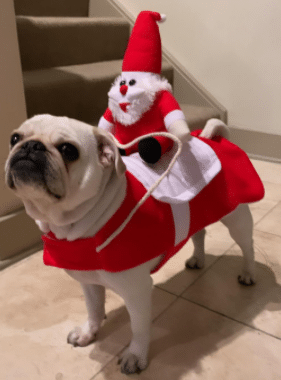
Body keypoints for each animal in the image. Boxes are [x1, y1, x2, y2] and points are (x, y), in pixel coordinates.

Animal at [4, 113, 262, 374]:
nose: (30, 146)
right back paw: (198, 259)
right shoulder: (88, 282)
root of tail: (217, 138)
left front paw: (136, 356)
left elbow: (138, 327)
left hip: (236, 218)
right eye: (14, 138)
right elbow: (94, 310)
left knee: (247, 246)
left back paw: (248, 273)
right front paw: (88, 333)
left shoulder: (136, 292)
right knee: (199, 234)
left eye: (68, 150)